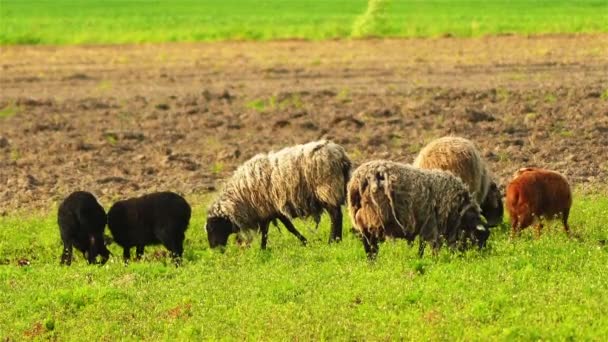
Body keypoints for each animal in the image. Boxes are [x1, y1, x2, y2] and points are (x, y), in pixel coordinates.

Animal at [207, 140, 352, 250]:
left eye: (213, 227)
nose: (214, 248)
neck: (240, 197)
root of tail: (340, 155)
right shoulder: (271, 209)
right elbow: (277, 228)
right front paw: (264, 249)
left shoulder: (266, 208)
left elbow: (281, 228)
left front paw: (303, 241)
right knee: (337, 215)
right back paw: (337, 240)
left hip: (327, 189)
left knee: (335, 216)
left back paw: (333, 240)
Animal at [346, 160, 490, 260]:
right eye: (479, 237)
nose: (482, 257)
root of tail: (361, 178)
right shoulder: (433, 225)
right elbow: (432, 245)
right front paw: (435, 260)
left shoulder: (425, 224)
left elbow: (422, 245)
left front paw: (420, 259)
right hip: (372, 217)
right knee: (371, 245)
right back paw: (373, 261)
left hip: (362, 219)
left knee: (367, 243)